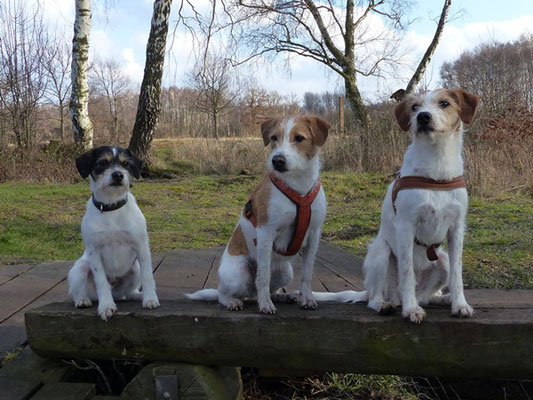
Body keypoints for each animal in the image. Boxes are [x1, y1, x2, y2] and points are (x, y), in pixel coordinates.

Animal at [66, 145, 159, 320]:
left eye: (125, 163)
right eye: (103, 162)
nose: (118, 175)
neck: (111, 208)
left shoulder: (142, 246)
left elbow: (148, 276)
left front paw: (150, 299)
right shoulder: (94, 252)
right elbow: (101, 282)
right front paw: (106, 306)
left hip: (135, 269)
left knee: (128, 293)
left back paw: (138, 296)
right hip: (80, 268)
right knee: (78, 293)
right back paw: (83, 300)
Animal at [187, 115, 334, 312]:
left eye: (299, 138)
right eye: (273, 138)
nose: (277, 160)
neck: (298, 185)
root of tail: (248, 293)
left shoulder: (314, 235)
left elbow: (307, 275)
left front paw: (307, 299)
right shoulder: (266, 233)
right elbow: (263, 277)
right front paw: (265, 305)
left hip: (285, 271)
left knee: (268, 289)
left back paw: (283, 296)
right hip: (239, 272)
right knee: (225, 294)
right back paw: (234, 301)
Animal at [362, 89, 482, 324]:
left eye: (444, 103)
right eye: (414, 107)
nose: (423, 117)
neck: (437, 168)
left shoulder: (457, 228)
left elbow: (458, 274)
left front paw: (460, 304)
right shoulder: (406, 227)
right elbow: (407, 272)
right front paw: (411, 310)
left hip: (442, 260)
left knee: (425, 296)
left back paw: (442, 299)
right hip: (381, 252)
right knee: (378, 295)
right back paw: (385, 304)